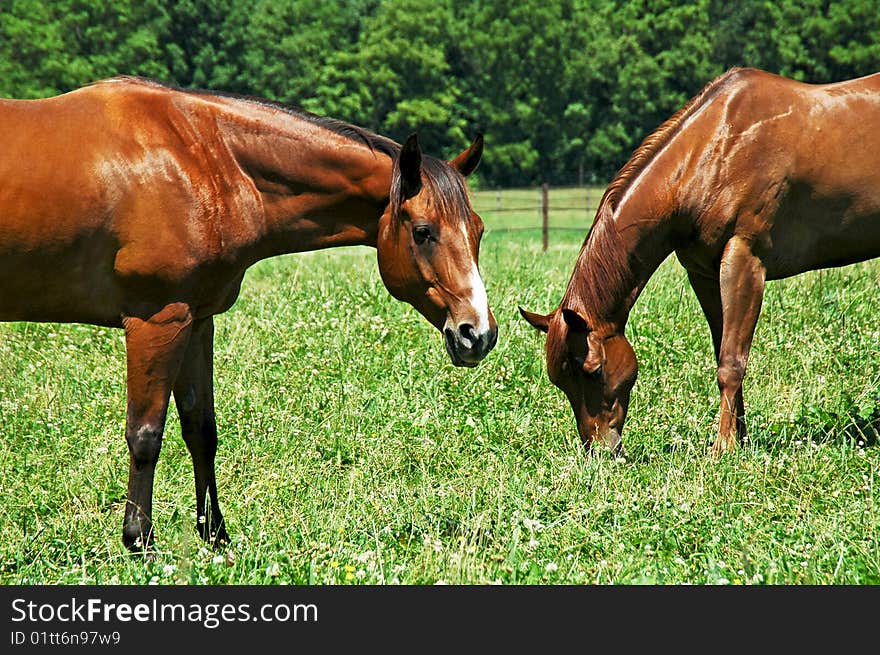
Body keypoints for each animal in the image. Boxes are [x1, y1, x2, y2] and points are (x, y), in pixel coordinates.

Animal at [0, 77, 496, 552]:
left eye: (478, 230)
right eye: (423, 231)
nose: (478, 334)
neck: (198, 160)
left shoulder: (196, 320)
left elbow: (201, 430)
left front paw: (215, 535)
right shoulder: (156, 320)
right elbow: (145, 434)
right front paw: (139, 541)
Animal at [520, 66, 880, 456]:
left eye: (594, 371)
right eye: (561, 381)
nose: (601, 451)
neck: (716, 150)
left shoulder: (744, 262)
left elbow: (732, 362)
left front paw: (722, 448)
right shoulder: (704, 273)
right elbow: (723, 349)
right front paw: (740, 439)